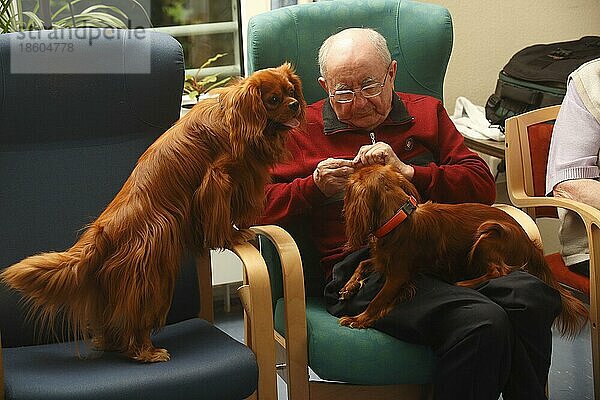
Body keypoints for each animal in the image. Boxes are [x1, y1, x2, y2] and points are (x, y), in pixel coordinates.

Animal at [1, 62, 304, 362]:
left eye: (291, 92)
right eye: (273, 99)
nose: (294, 105)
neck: (238, 119)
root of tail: (104, 230)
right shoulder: (217, 182)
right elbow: (219, 220)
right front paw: (231, 237)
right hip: (149, 277)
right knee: (132, 320)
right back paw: (146, 352)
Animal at [340, 163, 588, 338]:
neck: (398, 218)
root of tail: (528, 241)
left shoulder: (399, 275)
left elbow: (378, 299)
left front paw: (358, 319)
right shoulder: (382, 261)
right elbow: (362, 263)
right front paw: (349, 286)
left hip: (488, 235)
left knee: (498, 271)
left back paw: (464, 283)